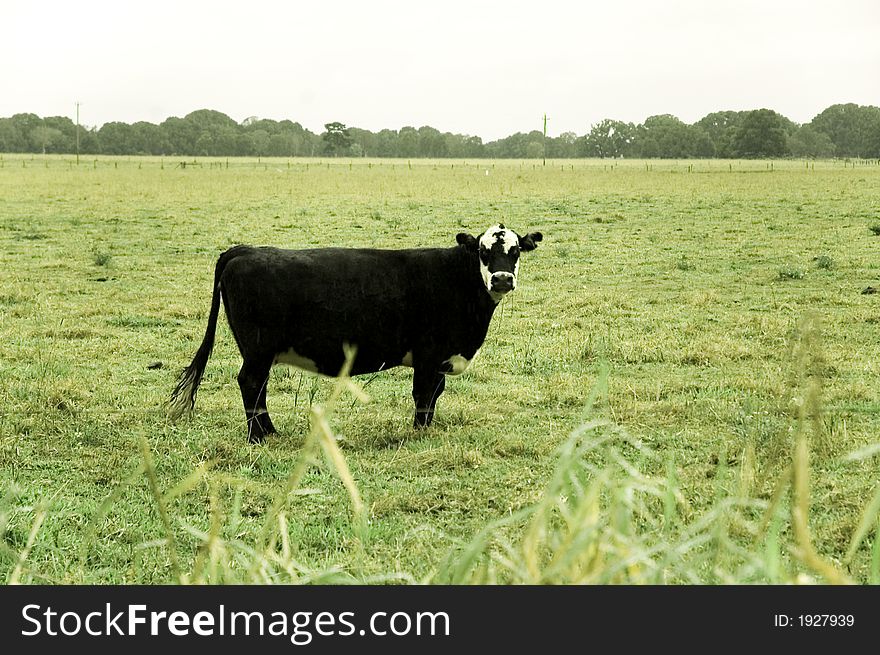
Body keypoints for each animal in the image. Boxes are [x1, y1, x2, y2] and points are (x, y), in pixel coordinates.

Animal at [169, 223, 544, 444]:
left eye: (515, 251)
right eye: (483, 251)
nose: (502, 279)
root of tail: (245, 250)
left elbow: (434, 395)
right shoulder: (429, 355)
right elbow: (424, 396)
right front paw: (421, 432)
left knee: (257, 386)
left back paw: (270, 433)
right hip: (258, 349)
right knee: (250, 383)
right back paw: (257, 437)